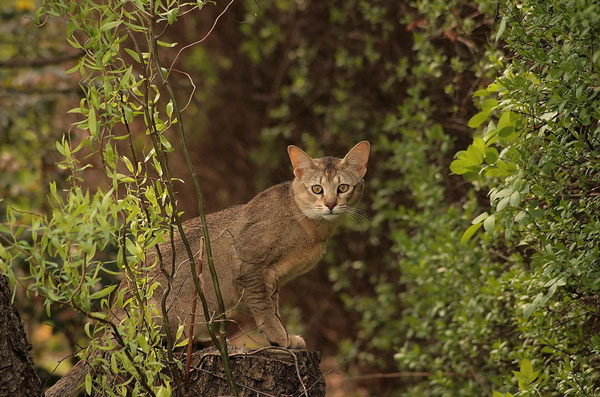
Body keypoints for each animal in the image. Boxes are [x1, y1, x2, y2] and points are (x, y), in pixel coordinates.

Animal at [44, 140, 368, 396]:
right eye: (317, 188)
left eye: (342, 188)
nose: (330, 204)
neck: (309, 226)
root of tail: (112, 316)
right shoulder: (251, 267)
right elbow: (265, 310)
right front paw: (279, 338)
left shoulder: (272, 279)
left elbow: (273, 307)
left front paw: (284, 336)